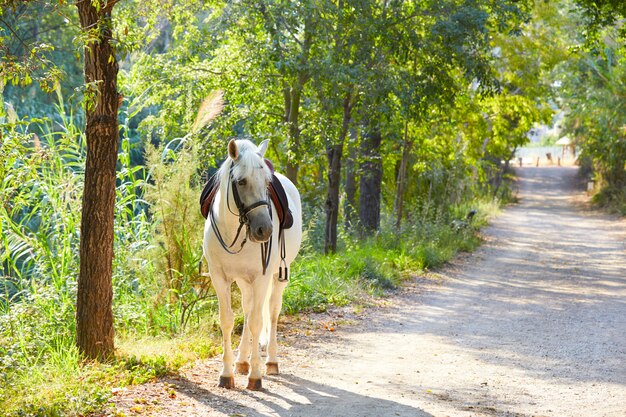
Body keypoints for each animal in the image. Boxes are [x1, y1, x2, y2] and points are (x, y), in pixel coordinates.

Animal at [204, 138, 302, 388]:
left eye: (267, 182)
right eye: (241, 181)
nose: (265, 230)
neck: (234, 231)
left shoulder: (261, 277)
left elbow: (258, 322)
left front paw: (255, 376)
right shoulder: (220, 278)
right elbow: (228, 321)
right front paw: (226, 373)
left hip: (277, 277)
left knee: (272, 312)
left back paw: (271, 362)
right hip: (243, 280)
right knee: (248, 309)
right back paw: (241, 361)